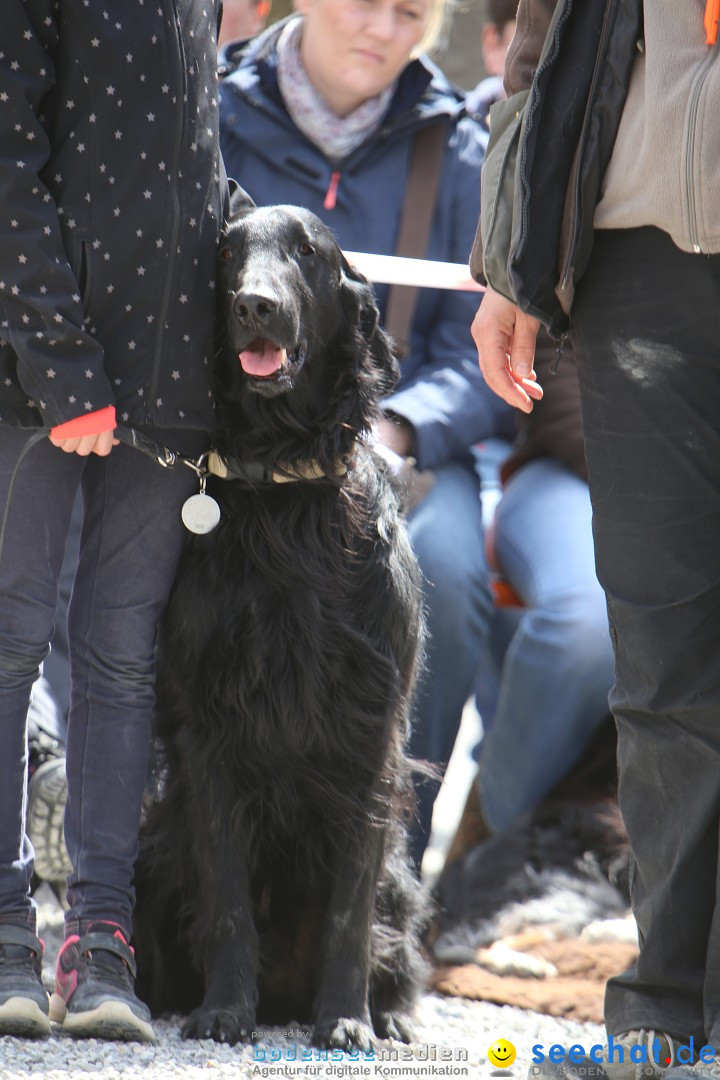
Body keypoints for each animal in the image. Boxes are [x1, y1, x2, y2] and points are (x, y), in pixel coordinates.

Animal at [132, 192, 427, 1045]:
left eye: (307, 254)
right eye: (229, 254)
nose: (255, 306)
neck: (285, 488)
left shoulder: (371, 737)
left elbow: (349, 914)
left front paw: (348, 1019)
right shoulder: (206, 731)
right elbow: (228, 896)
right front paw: (225, 1010)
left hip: (403, 874)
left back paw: (390, 1014)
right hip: (155, 846)